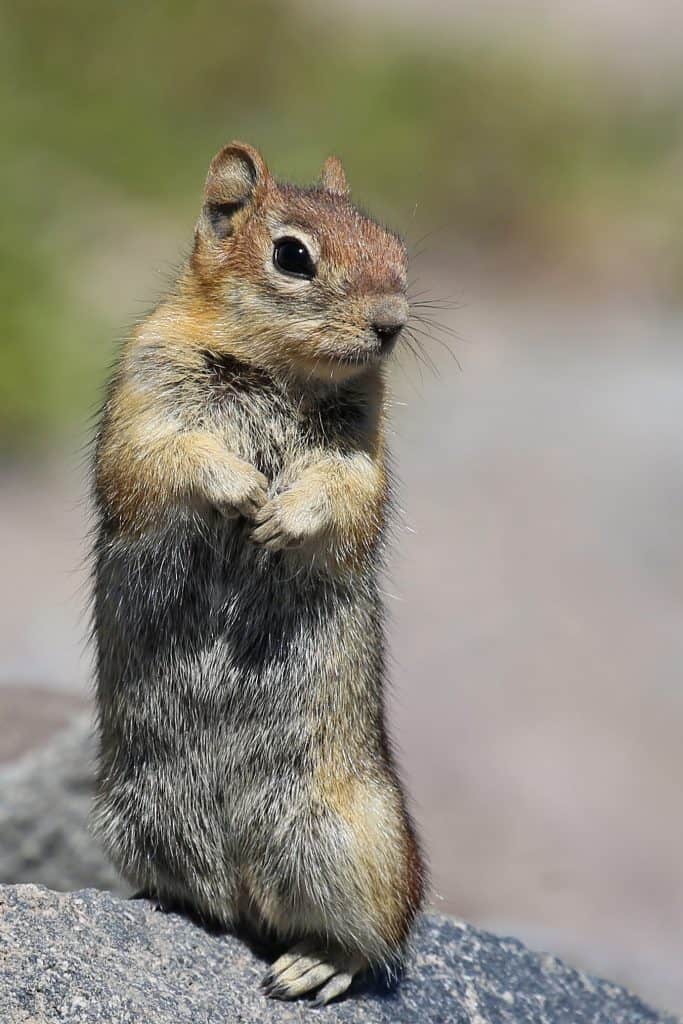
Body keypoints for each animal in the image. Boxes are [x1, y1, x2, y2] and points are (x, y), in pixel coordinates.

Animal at [89, 140, 423, 1003]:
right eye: (292, 256)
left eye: (396, 247)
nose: (391, 324)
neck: (277, 370)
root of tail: (242, 888)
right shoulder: (146, 394)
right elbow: (165, 456)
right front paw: (240, 487)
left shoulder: (360, 446)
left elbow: (346, 494)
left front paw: (284, 516)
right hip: (135, 817)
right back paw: (171, 902)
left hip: (348, 840)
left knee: (378, 934)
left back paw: (314, 964)